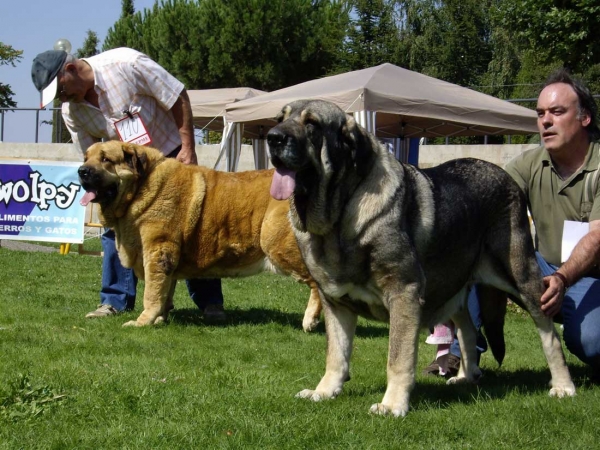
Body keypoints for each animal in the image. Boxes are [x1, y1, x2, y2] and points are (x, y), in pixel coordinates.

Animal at [79, 141, 322, 330]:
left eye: (105, 159)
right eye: (86, 158)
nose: (81, 171)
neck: (140, 188)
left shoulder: (157, 251)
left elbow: (152, 293)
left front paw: (142, 322)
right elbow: (165, 291)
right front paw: (159, 319)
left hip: (276, 241)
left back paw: (310, 320)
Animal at [268, 100, 576, 416]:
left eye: (312, 124)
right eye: (279, 119)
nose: (272, 138)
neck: (338, 220)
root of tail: (506, 176)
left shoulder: (404, 294)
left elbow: (397, 357)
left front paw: (392, 404)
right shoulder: (336, 303)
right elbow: (336, 354)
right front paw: (324, 391)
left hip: (521, 278)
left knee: (549, 334)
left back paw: (563, 386)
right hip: (453, 285)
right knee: (467, 330)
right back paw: (467, 377)